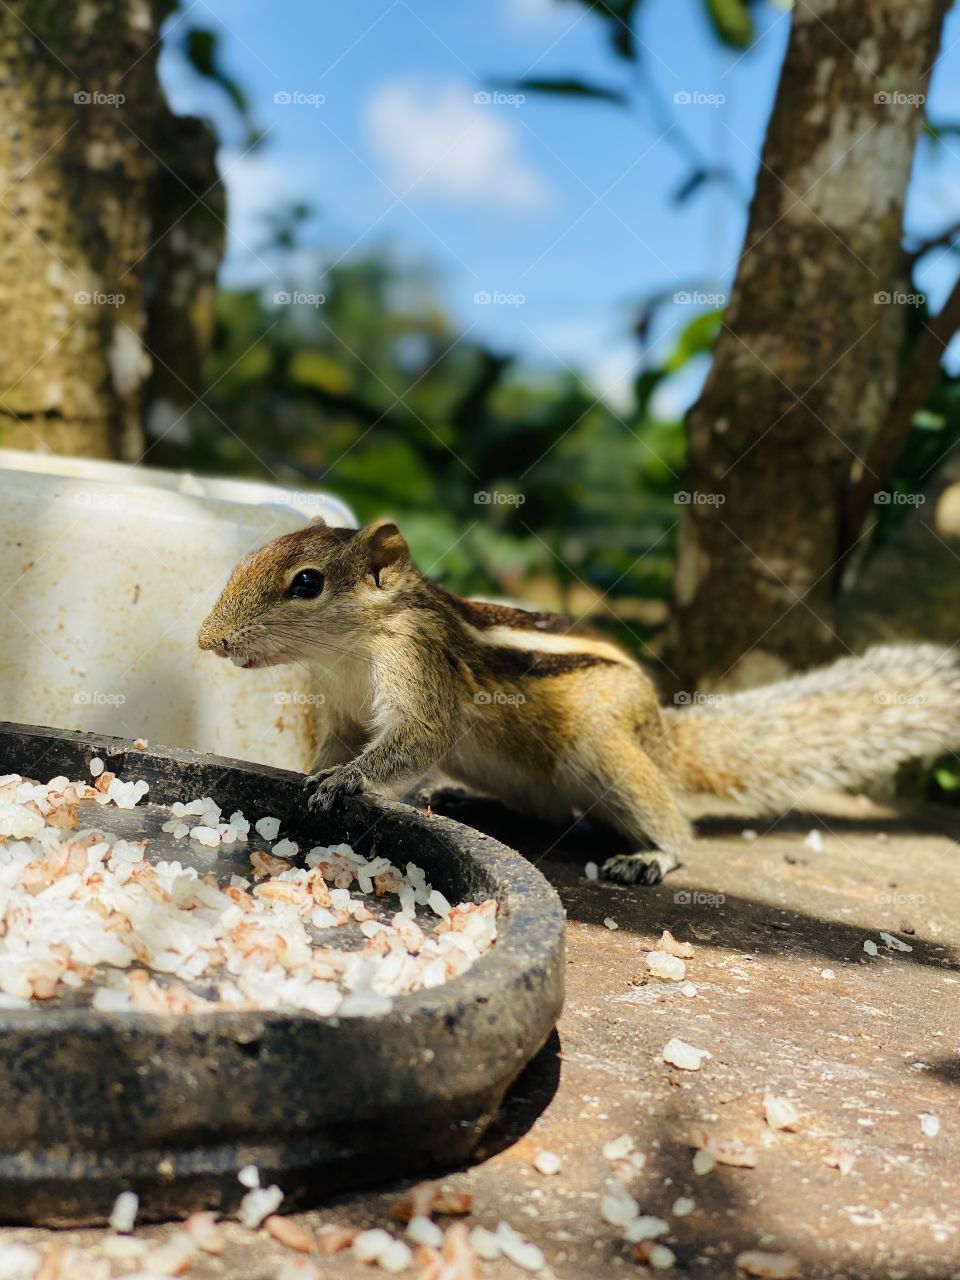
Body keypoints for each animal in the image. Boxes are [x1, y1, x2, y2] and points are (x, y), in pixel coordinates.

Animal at [198, 518, 960, 886]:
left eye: (306, 583)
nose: (210, 640)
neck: (348, 652)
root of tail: (664, 738)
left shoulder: (422, 670)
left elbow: (416, 740)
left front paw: (346, 783)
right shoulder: (344, 711)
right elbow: (335, 746)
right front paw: (311, 776)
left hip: (601, 750)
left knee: (676, 824)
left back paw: (652, 857)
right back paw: (469, 800)